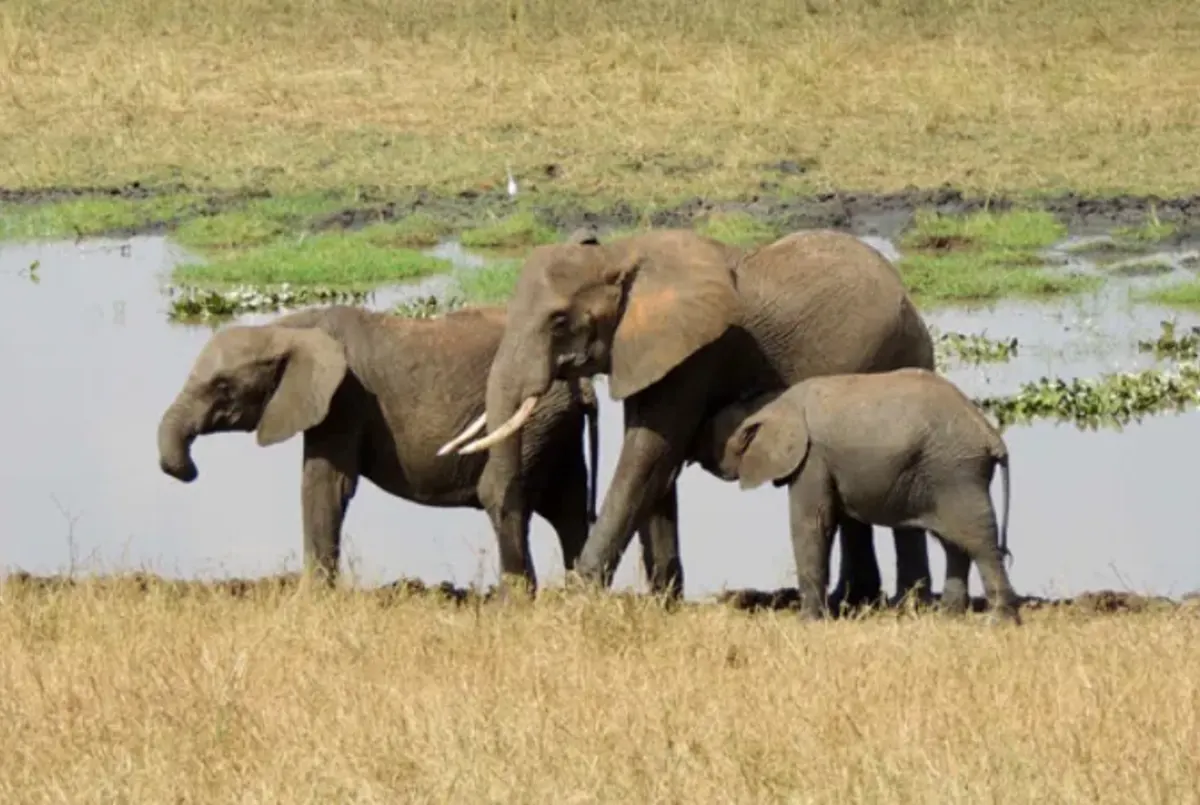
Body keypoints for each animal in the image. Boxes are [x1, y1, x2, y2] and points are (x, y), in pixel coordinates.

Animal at [156, 303, 599, 591]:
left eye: (222, 387)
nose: (189, 470)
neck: (286, 328)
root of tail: (581, 383)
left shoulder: (343, 399)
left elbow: (326, 486)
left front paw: (311, 598)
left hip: (533, 417)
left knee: (502, 494)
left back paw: (513, 602)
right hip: (557, 426)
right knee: (570, 508)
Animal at [437, 227, 938, 609]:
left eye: (559, 321)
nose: (515, 596)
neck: (620, 257)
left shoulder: (697, 354)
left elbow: (647, 454)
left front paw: (577, 596)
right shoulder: (649, 355)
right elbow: (657, 465)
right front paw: (663, 601)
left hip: (892, 354)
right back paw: (857, 599)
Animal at [689, 367, 1019, 623]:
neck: (774, 404)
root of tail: (991, 436)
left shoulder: (812, 458)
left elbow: (813, 523)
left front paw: (808, 622)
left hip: (956, 473)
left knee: (980, 542)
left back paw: (999, 622)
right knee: (956, 543)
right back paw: (949, 617)